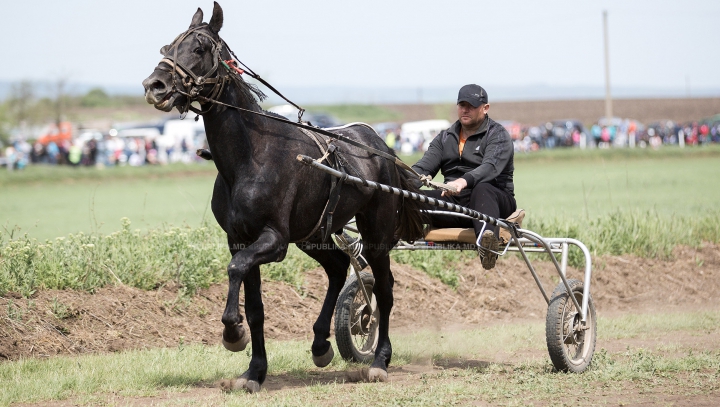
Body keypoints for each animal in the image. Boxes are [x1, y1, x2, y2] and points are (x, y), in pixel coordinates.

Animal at [143, 1, 424, 394]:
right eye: (168, 46)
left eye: (198, 48)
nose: (155, 85)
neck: (250, 156)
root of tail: (381, 145)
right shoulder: (239, 238)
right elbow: (254, 306)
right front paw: (254, 371)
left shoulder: (274, 240)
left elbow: (236, 269)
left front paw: (233, 334)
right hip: (312, 234)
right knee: (338, 267)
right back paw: (321, 343)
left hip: (376, 233)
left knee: (383, 289)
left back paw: (379, 360)